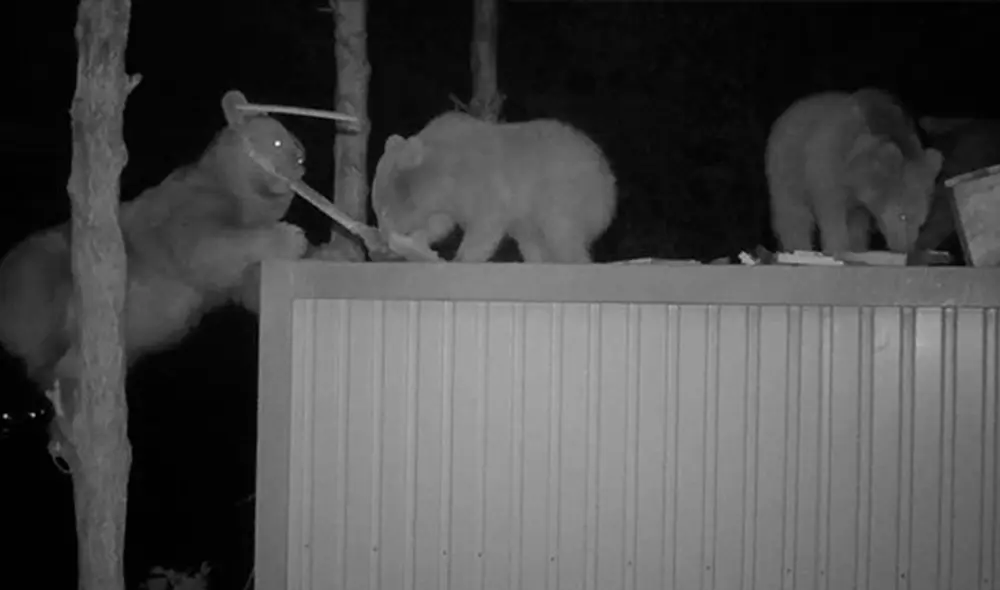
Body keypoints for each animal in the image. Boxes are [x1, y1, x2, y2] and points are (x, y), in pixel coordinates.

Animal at [0, 90, 309, 399]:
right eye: (278, 140)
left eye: (297, 142)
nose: (301, 160)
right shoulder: (186, 220)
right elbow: (213, 246)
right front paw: (292, 236)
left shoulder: (232, 281)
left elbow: (255, 292)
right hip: (41, 268)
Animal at [370, 111, 618, 263]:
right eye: (376, 210)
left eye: (384, 211)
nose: (381, 238)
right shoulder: (446, 199)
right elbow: (440, 222)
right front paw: (418, 242)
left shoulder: (481, 180)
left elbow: (486, 223)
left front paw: (462, 257)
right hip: (530, 218)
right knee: (533, 240)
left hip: (565, 191)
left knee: (562, 230)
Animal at [765, 88, 944, 255]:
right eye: (902, 215)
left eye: (922, 222)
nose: (906, 249)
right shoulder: (829, 166)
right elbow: (831, 211)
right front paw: (837, 247)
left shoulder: (860, 200)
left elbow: (858, 223)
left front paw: (857, 247)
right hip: (787, 167)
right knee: (793, 211)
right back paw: (798, 246)